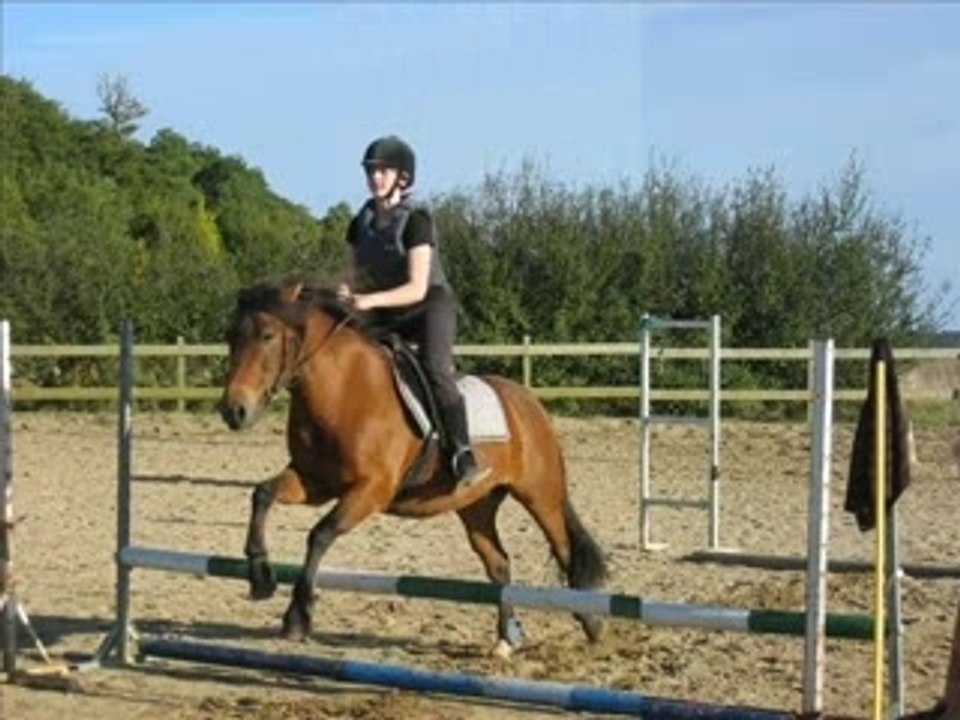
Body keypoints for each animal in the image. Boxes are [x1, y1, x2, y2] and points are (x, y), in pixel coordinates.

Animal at [217, 274, 608, 658]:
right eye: (230, 337)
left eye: (267, 336)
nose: (234, 411)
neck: (343, 389)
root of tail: (529, 402)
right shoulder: (313, 482)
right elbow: (262, 494)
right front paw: (260, 575)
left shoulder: (371, 489)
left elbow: (320, 534)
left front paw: (298, 616)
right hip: (476, 505)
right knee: (498, 563)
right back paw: (506, 638)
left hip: (540, 494)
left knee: (564, 550)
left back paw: (591, 622)